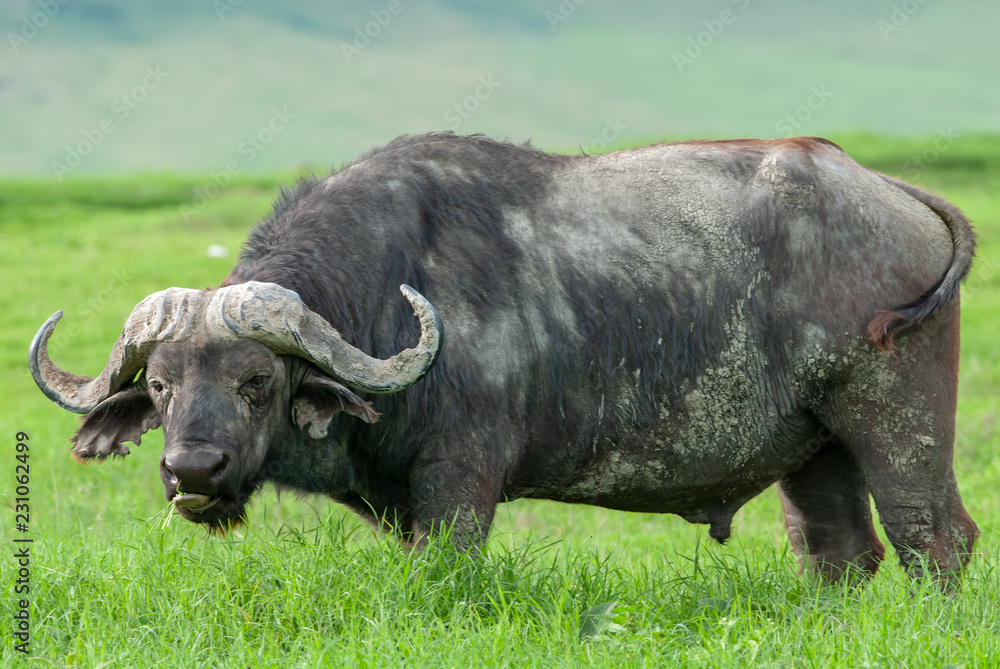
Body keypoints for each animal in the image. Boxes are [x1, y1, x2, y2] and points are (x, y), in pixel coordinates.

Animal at [31, 133, 978, 583]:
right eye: (160, 386)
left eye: (257, 381)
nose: (192, 471)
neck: (387, 292)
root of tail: (892, 193)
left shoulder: (460, 478)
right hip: (815, 450)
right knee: (837, 554)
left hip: (895, 420)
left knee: (937, 539)